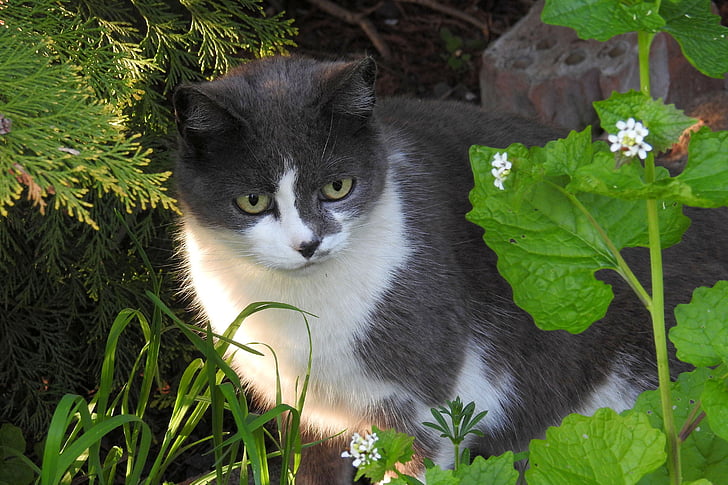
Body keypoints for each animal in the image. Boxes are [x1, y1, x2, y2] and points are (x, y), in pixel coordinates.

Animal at [173, 55, 724, 480]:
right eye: (252, 201)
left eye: (337, 187)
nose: (307, 244)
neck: (302, 312)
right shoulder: (298, 408)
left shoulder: (420, 401)